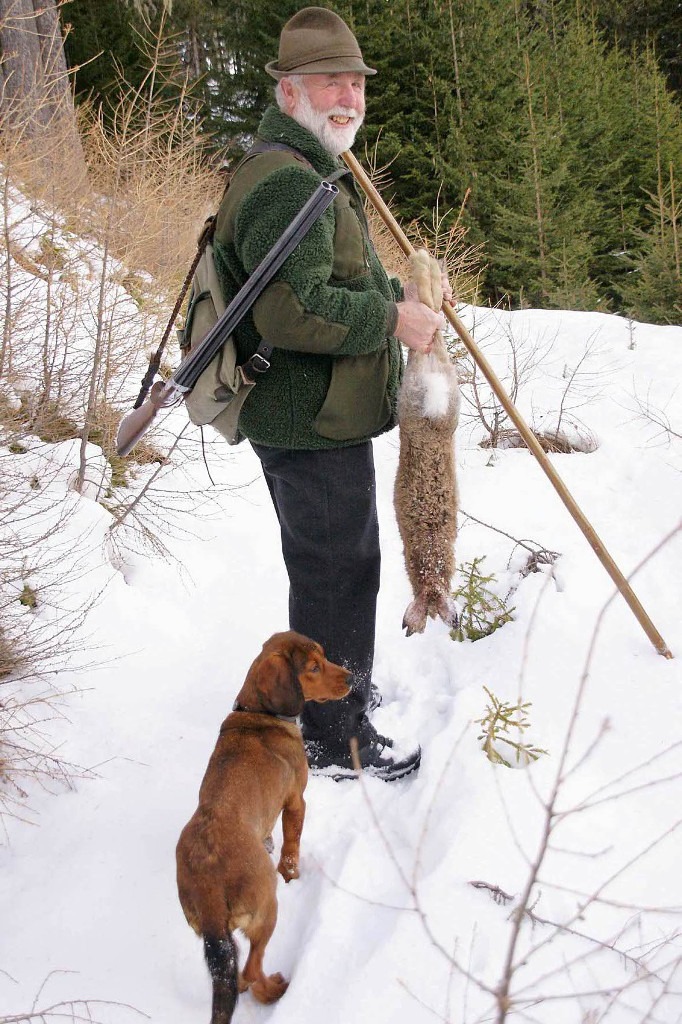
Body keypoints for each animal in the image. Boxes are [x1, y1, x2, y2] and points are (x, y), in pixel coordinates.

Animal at [175, 630, 350, 1024]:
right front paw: (292, 874)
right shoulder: (296, 801)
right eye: (313, 667)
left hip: (209, 929)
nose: (351, 678)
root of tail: (209, 885)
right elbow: (292, 847)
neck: (258, 713)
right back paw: (275, 991)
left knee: (238, 975)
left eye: (324, 656)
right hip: (266, 909)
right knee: (252, 969)